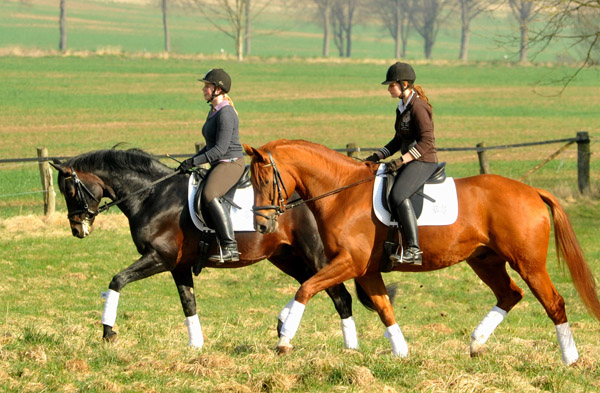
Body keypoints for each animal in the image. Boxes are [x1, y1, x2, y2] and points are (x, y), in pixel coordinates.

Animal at [50, 149, 360, 348]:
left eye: (70, 190)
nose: (77, 229)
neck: (152, 195)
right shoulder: (178, 266)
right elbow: (189, 303)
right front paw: (196, 345)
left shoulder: (159, 258)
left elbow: (117, 281)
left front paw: (108, 332)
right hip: (286, 257)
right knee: (311, 284)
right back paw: (283, 323)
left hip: (314, 254)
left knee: (339, 296)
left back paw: (349, 347)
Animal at [245, 139, 600, 364]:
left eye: (265, 181)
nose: (261, 225)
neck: (342, 193)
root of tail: (532, 191)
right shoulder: (367, 270)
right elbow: (384, 308)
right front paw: (401, 352)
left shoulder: (350, 263)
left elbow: (306, 288)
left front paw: (284, 337)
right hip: (485, 261)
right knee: (510, 294)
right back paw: (476, 343)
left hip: (528, 264)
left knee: (554, 303)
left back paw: (570, 359)